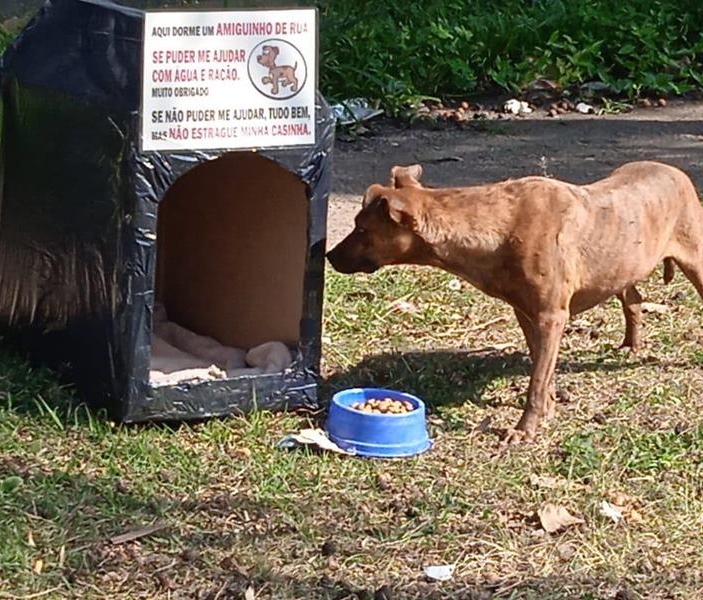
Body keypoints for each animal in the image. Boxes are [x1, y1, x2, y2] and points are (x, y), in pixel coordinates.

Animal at [328, 162, 703, 442]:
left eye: (362, 229)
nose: (329, 255)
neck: (493, 229)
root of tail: (676, 171)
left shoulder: (550, 316)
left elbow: (537, 379)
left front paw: (525, 428)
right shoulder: (527, 313)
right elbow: (541, 367)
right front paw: (549, 405)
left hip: (693, 258)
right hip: (620, 264)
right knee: (633, 298)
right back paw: (630, 344)